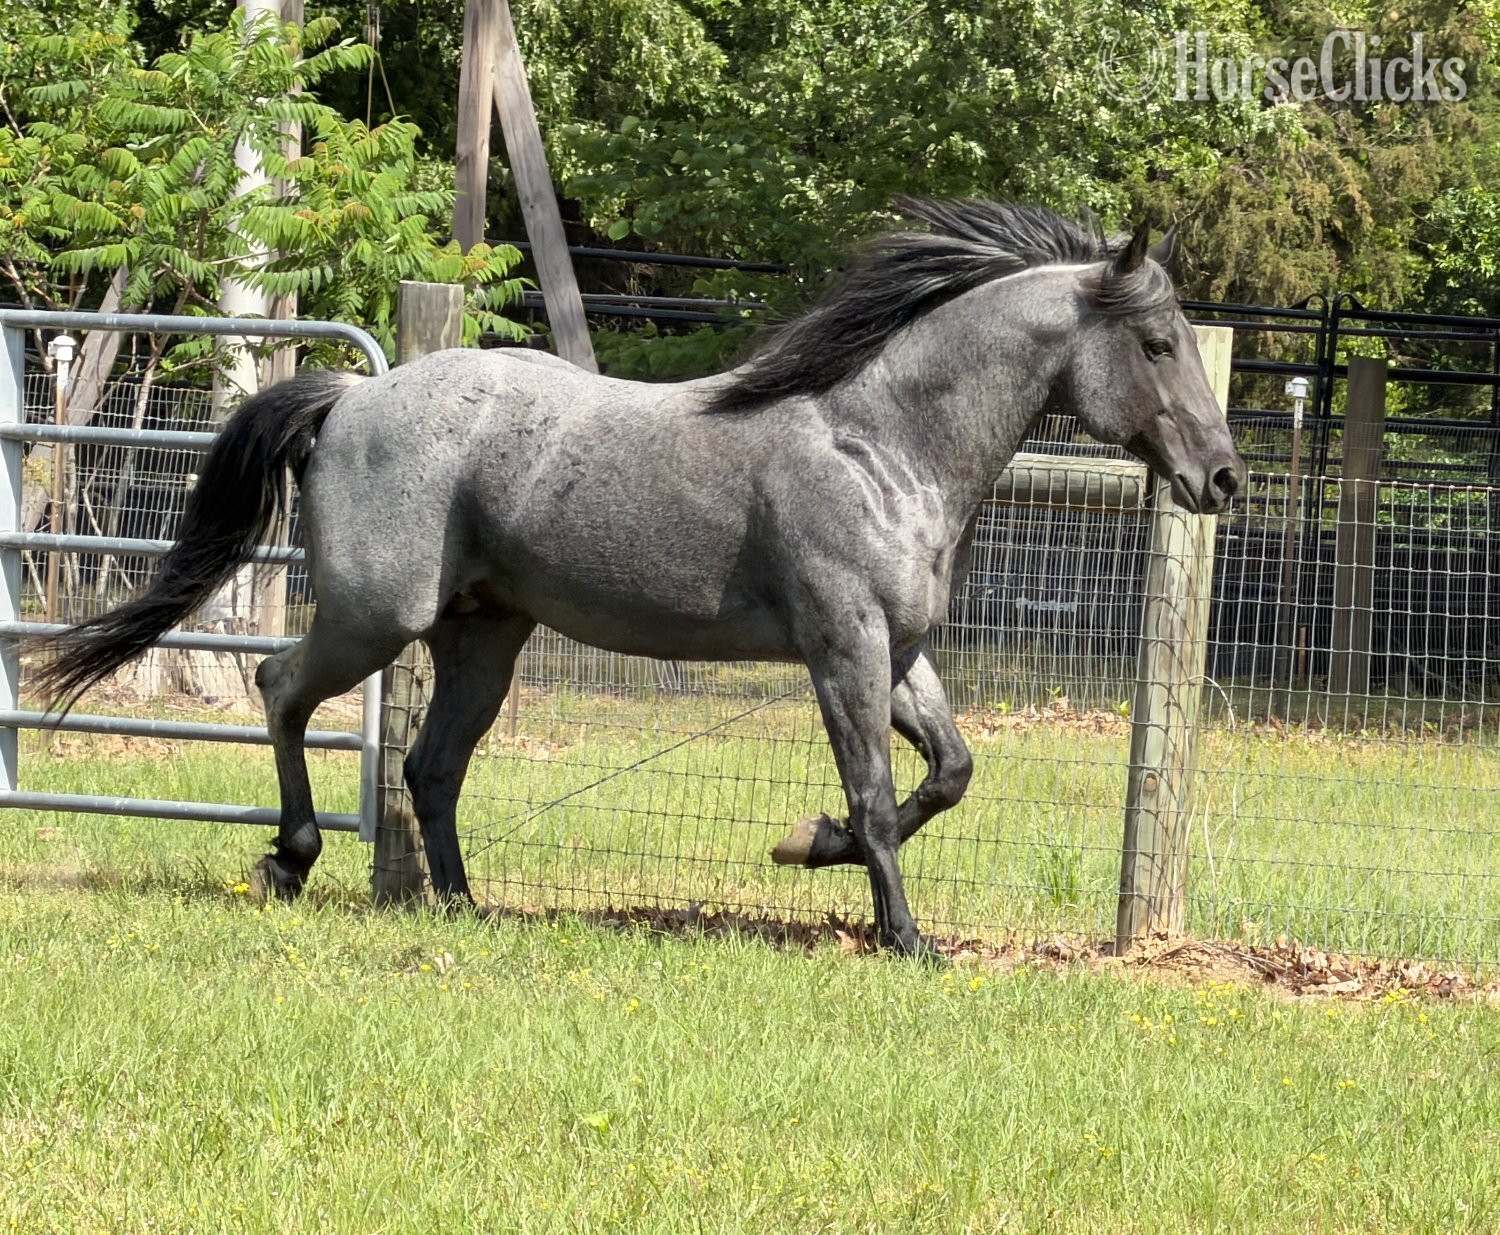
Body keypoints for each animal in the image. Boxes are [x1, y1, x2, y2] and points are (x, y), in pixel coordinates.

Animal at [37, 199, 1245, 956]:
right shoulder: (842, 647)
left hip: (484, 635)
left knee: (431, 766)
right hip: (378, 616)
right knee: (284, 689)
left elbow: (949, 772)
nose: (1223, 477)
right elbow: (876, 792)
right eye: (1155, 341)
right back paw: (287, 862)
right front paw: (904, 936)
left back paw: (462, 906)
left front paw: (809, 845)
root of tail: (353, 394)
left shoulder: (898, 651)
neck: (878, 439)